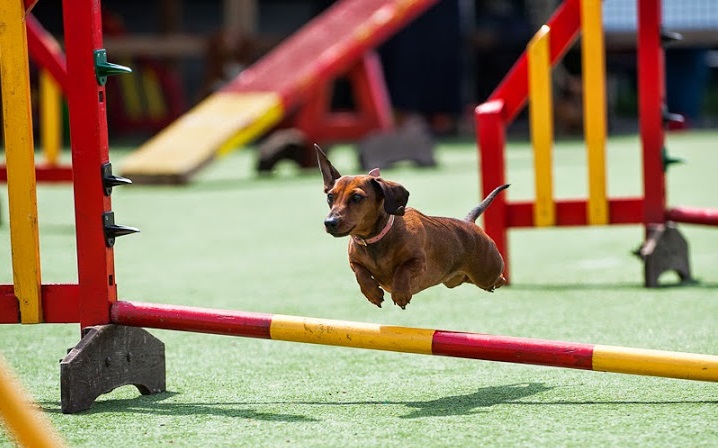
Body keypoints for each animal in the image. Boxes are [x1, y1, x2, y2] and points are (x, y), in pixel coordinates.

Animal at [318, 145, 510, 310]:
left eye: (357, 197)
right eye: (330, 196)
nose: (330, 223)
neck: (376, 240)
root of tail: (469, 223)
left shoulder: (418, 262)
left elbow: (402, 270)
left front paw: (400, 294)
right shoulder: (354, 262)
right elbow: (361, 273)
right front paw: (372, 293)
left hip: (486, 273)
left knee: (497, 279)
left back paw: (501, 281)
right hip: (456, 280)